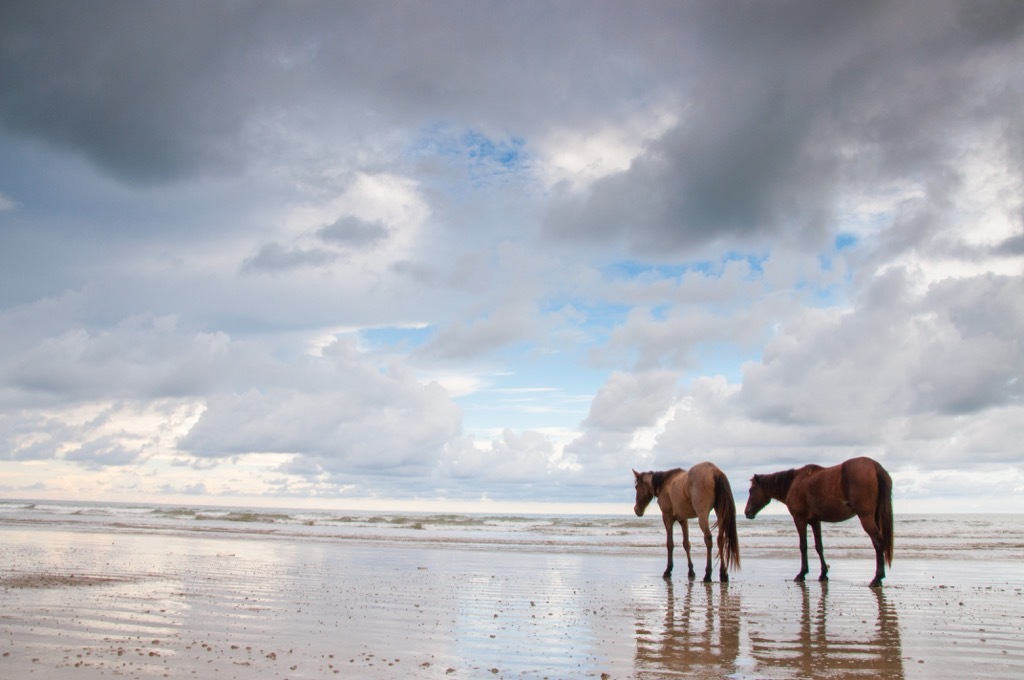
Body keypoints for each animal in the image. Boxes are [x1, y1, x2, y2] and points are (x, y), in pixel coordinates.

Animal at [741, 458, 892, 585]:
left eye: (751, 490)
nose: (747, 512)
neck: (793, 483)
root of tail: (875, 466)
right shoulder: (815, 522)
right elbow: (819, 546)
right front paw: (823, 574)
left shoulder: (799, 519)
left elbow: (803, 546)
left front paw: (802, 574)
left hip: (866, 517)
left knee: (878, 542)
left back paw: (877, 578)